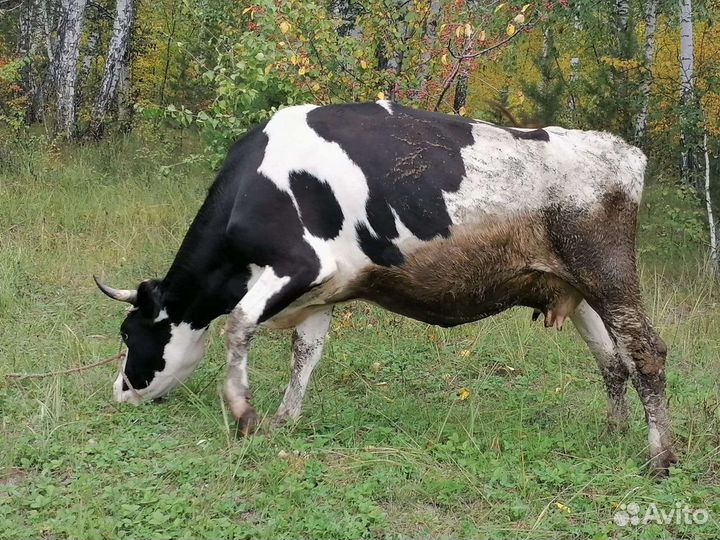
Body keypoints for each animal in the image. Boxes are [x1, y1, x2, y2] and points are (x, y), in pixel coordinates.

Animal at [95, 101, 676, 475]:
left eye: (128, 334)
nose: (119, 392)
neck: (255, 186)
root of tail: (622, 149)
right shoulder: (323, 292)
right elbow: (305, 354)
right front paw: (285, 419)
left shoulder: (300, 264)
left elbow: (238, 325)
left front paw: (243, 413)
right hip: (576, 288)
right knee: (613, 360)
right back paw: (614, 433)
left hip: (608, 272)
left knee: (645, 351)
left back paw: (660, 458)